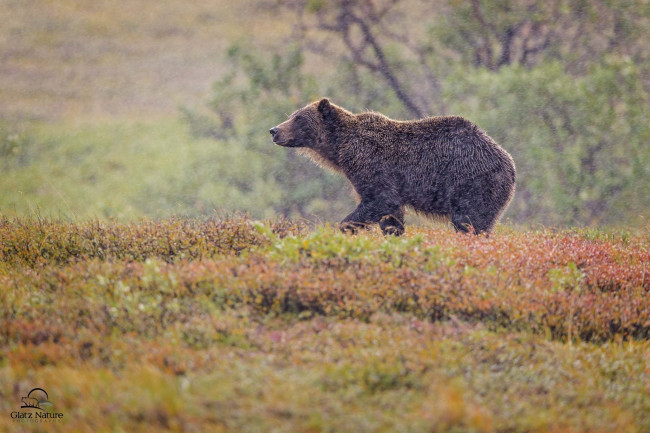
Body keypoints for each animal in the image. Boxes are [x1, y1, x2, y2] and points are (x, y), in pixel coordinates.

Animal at [268, 98, 512, 235]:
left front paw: (344, 227)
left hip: (472, 182)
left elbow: (380, 200)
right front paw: (393, 234)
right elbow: (392, 216)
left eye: (299, 118)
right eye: (292, 115)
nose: (274, 130)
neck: (340, 148)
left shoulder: (372, 165)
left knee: (470, 221)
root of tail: (508, 161)